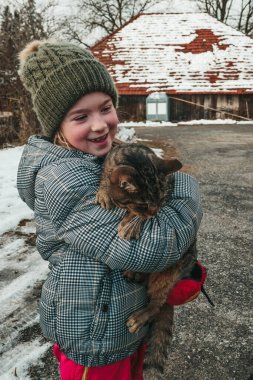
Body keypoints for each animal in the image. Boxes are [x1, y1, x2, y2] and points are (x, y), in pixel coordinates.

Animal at [96, 141, 197, 372]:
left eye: (160, 201)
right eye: (143, 204)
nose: (154, 212)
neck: (136, 157)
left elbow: (135, 218)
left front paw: (130, 224)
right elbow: (105, 178)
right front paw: (103, 191)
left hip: (168, 274)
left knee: (157, 303)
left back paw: (141, 315)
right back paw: (135, 274)